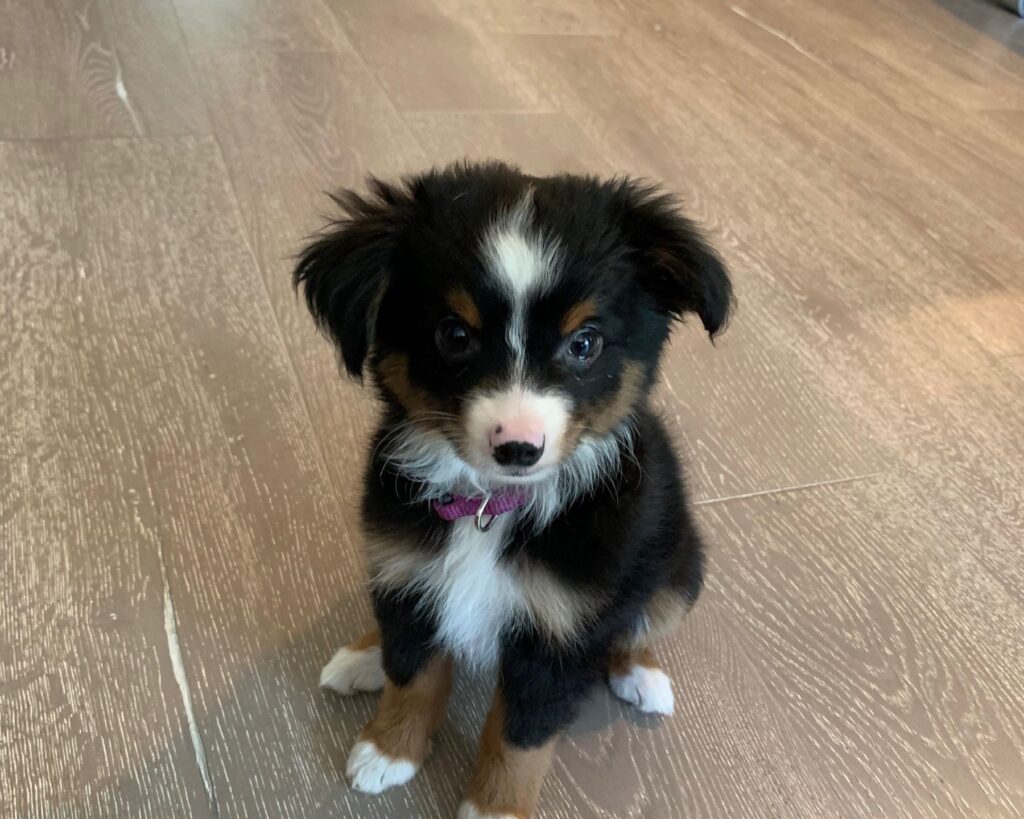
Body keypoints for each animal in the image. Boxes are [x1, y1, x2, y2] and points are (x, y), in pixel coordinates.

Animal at [292, 161, 733, 818]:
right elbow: (413, 672)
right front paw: (389, 749)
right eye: (453, 335)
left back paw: (641, 675)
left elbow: (522, 736)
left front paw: (495, 805)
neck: (489, 505)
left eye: (584, 343)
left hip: (680, 571)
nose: (519, 448)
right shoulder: (408, 566)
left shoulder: (560, 630)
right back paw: (365, 656)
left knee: (639, 625)